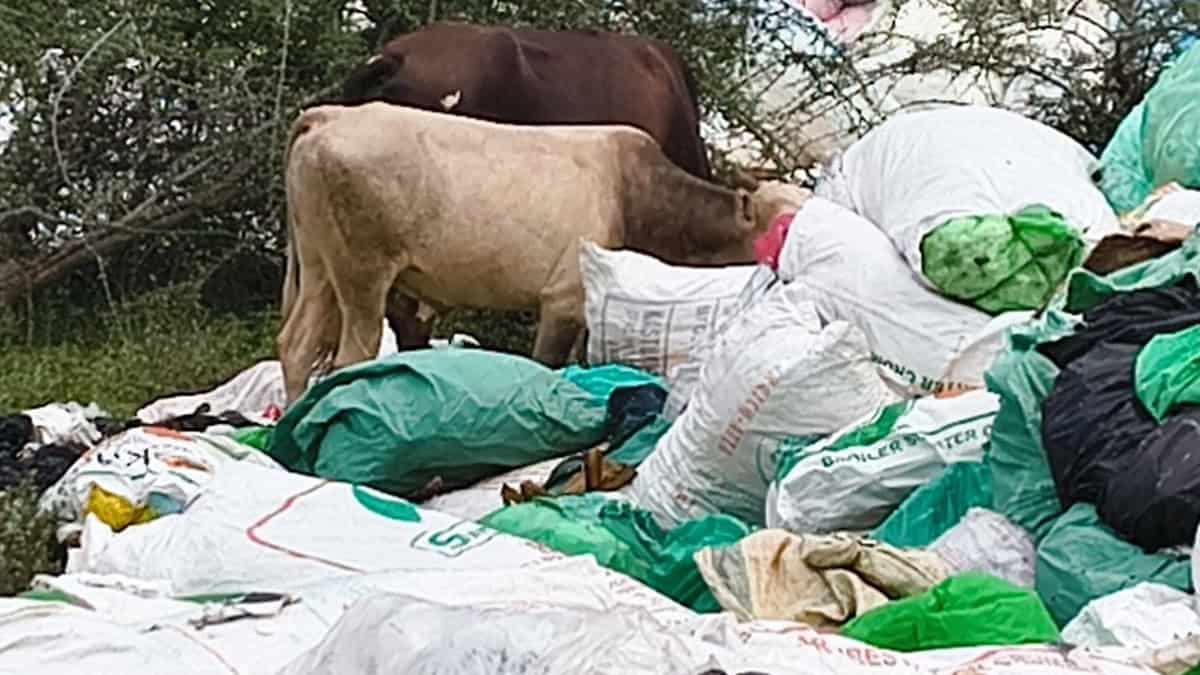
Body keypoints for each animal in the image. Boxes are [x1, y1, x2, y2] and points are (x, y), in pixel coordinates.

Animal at [279, 102, 801, 401]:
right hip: (362, 272)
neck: (640, 197)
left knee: (297, 346)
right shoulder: (563, 300)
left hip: (321, 266)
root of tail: (335, 114)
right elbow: (547, 365)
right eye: (784, 224)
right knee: (352, 354)